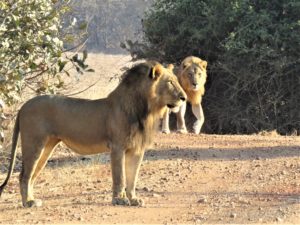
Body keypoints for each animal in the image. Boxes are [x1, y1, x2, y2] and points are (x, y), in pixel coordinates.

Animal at [0, 61, 186, 207]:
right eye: (170, 82)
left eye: (177, 81)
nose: (184, 98)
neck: (146, 110)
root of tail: (23, 106)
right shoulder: (117, 147)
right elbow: (120, 177)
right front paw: (119, 199)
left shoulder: (136, 150)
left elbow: (132, 177)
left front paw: (134, 199)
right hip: (34, 144)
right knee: (24, 175)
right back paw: (28, 203)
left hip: (46, 147)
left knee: (31, 176)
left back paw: (32, 200)